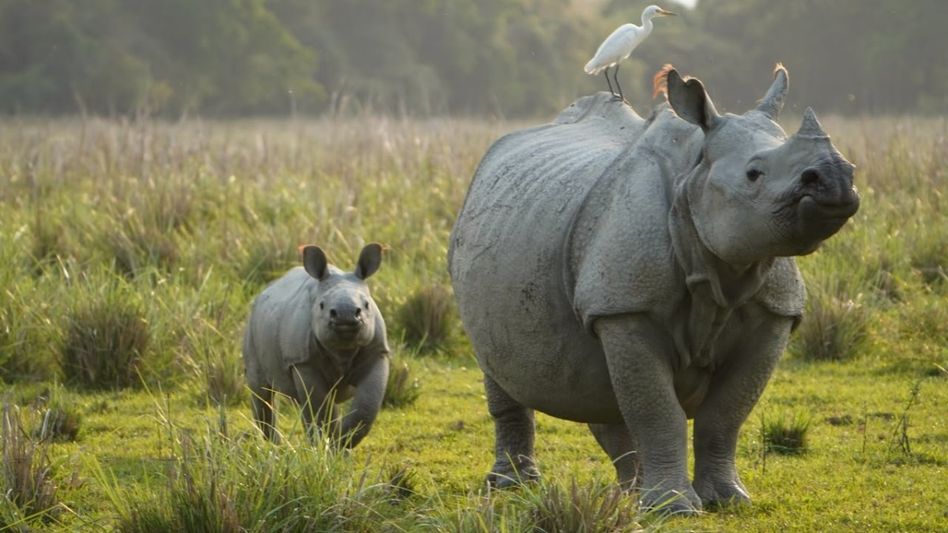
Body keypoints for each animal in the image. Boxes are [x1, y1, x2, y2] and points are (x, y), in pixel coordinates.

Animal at [243, 243, 389, 447]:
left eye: (367, 305)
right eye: (321, 305)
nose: (346, 315)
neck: (342, 350)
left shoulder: (377, 353)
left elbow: (366, 408)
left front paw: (341, 443)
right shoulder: (302, 361)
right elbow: (319, 410)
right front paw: (328, 446)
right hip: (252, 326)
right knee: (262, 391)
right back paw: (277, 447)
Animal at [448, 66, 858, 514]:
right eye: (753, 174)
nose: (837, 178)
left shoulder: (775, 310)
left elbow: (725, 414)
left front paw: (728, 501)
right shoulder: (627, 307)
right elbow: (657, 410)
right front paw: (674, 508)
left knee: (604, 388)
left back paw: (630, 495)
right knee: (499, 367)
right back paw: (513, 486)